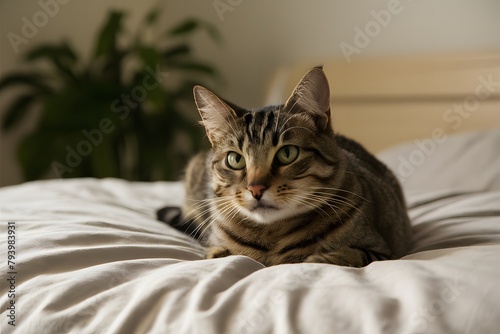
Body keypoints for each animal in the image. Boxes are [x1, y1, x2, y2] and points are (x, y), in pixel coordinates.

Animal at [158, 66, 412, 268]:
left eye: (287, 154)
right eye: (235, 159)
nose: (256, 189)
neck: (272, 236)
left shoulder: (384, 250)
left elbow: (350, 255)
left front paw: (319, 258)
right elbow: (218, 253)